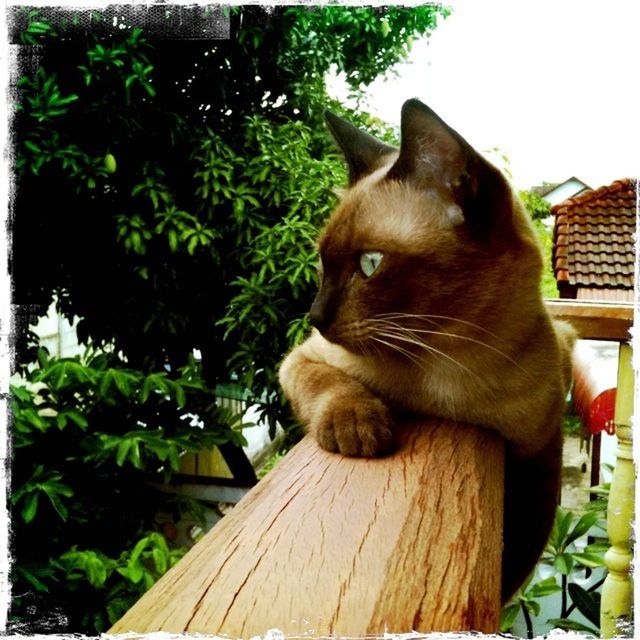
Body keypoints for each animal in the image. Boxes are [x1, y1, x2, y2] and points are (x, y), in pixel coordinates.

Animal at [278, 97, 576, 604]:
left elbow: (515, 552)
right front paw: (359, 427)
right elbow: (331, 383)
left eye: (370, 264)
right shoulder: (303, 358)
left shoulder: (537, 454)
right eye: (320, 263)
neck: (444, 375)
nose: (315, 317)